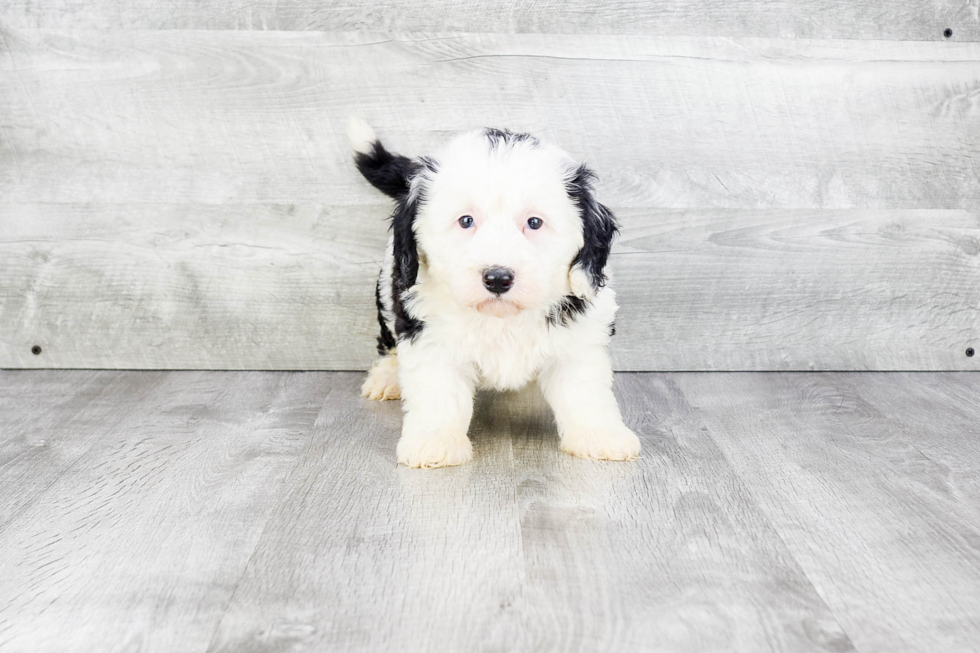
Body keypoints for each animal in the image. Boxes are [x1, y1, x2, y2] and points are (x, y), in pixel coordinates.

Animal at [348, 116, 640, 464]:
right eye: (466, 221)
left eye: (534, 222)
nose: (498, 278)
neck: (502, 319)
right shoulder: (430, 336)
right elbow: (438, 392)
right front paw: (435, 442)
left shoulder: (579, 337)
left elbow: (584, 390)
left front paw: (601, 436)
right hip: (388, 290)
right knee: (389, 340)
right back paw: (386, 377)